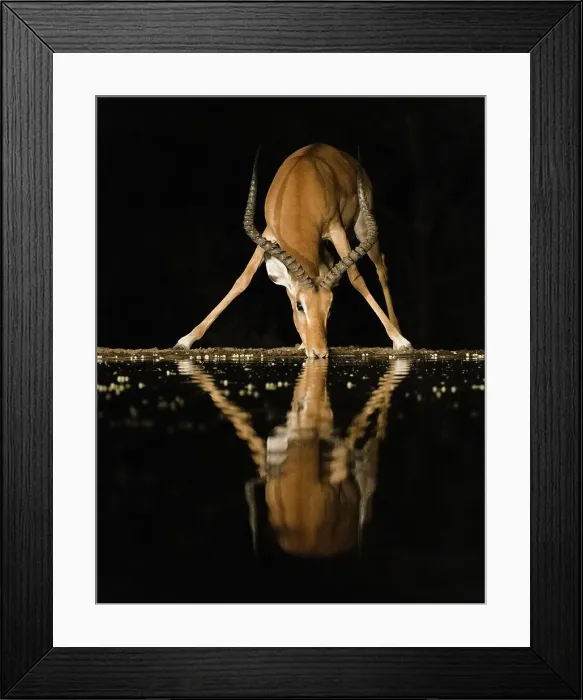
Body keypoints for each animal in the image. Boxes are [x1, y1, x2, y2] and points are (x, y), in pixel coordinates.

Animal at [175, 144, 412, 358]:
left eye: (330, 307)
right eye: (299, 306)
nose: (319, 353)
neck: (301, 187)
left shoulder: (336, 229)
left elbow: (356, 278)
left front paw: (401, 342)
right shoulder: (268, 233)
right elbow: (243, 280)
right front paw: (186, 340)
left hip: (362, 227)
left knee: (381, 267)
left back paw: (398, 333)